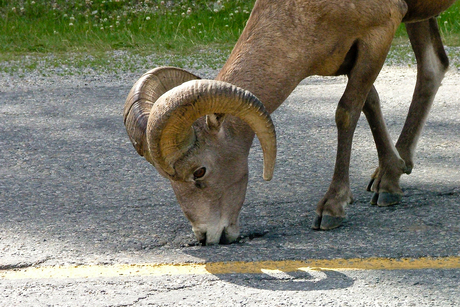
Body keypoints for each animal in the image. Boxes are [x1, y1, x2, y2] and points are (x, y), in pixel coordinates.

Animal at [123, 0, 456, 245]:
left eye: (200, 171)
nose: (206, 236)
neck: (304, 13)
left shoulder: (379, 34)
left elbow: (347, 113)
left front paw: (332, 208)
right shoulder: (355, 56)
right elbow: (369, 103)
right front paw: (389, 181)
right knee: (433, 65)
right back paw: (401, 164)